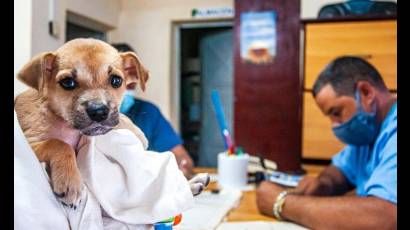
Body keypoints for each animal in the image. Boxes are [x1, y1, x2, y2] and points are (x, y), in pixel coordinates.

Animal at [14, 38, 149, 208]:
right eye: (68, 82)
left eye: (116, 81)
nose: (98, 111)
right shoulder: (29, 142)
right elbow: (59, 144)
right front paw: (70, 181)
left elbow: (118, 119)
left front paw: (137, 132)